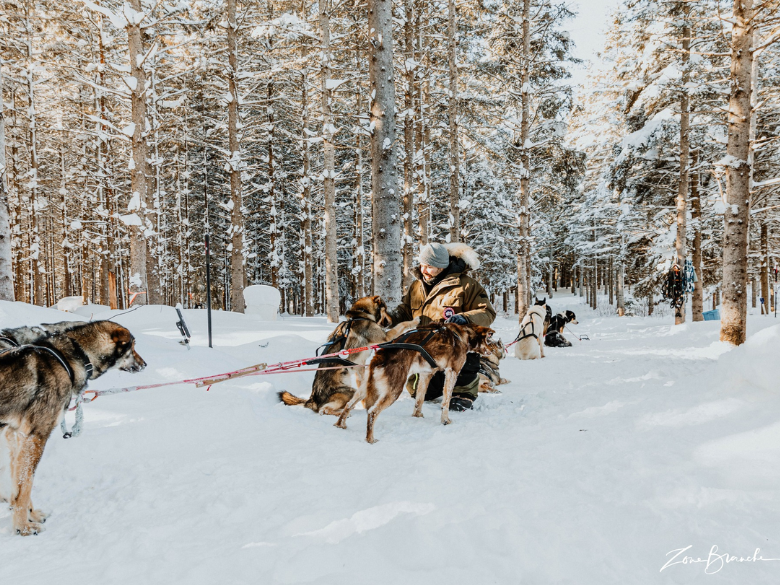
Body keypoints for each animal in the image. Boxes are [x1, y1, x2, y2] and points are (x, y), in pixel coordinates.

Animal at [0, 320, 145, 532]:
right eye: (133, 347)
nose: (145, 364)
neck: (69, 358)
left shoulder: (17, 436)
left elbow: (18, 483)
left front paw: (30, 515)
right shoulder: (35, 437)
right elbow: (25, 485)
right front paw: (23, 527)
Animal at [280, 296, 420, 416]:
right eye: (385, 309)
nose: (391, 321)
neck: (361, 314)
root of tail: (312, 399)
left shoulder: (359, 366)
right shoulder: (386, 337)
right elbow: (403, 325)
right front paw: (414, 321)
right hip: (348, 391)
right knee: (323, 410)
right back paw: (341, 413)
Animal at [334, 320, 494, 442]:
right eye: (490, 340)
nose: (492, 351)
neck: (462, 335)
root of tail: (378, 357)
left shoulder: (425, 374)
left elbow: (420, 399)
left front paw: (417, 416)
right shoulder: (452, 372)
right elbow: (446, 401)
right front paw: (445, 420)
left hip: (363, 390)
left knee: (348, 405)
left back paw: (340, 425)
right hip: (394, 390)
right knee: (372, 412)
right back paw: (370, 439)